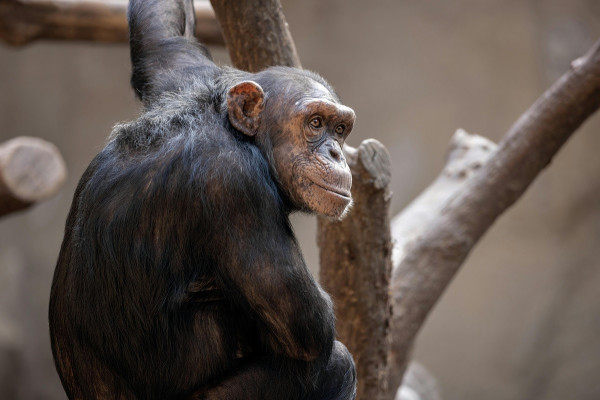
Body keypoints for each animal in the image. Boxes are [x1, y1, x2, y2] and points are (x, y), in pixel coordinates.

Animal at [50, 0, 356, 398]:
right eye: (316, 123)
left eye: (341, 128)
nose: (337, 153)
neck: (232, 131)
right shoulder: (236, 187)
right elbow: (306, 332)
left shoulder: (184, 77)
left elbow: (165, 37)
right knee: (336, 364)